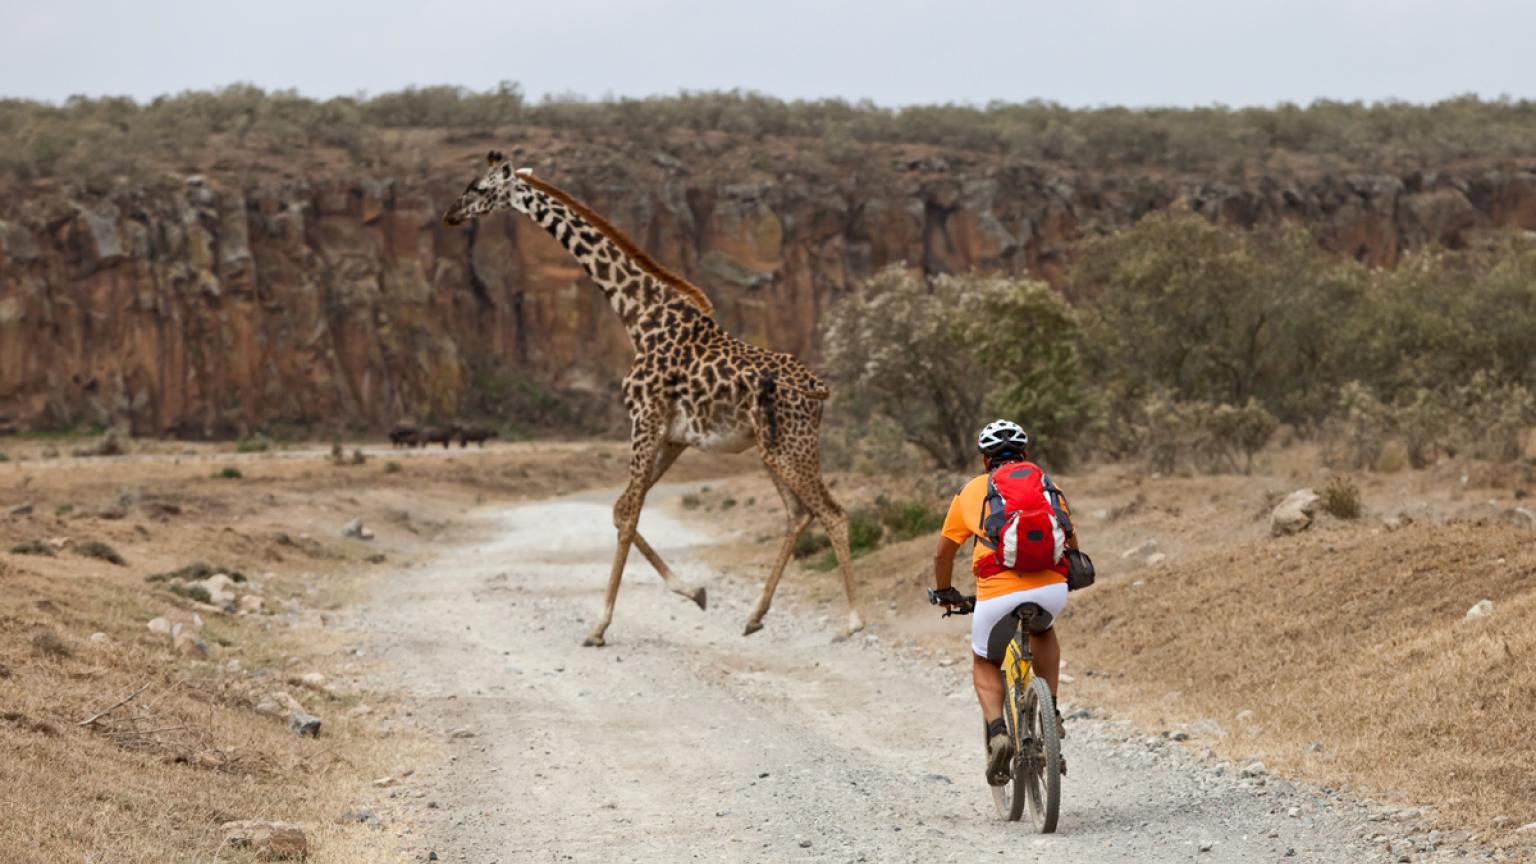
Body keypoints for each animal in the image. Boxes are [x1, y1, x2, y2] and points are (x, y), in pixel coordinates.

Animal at [445, 149, 866, 645]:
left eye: (478, 187)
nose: (450, 214)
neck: (638, 315)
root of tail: (818, 389)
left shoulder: (643, 420)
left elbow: (628, 514)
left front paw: (599, 625)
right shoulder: (672, 435)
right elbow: (620, 508)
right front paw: (694, 591)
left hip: (791, 448)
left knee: (833, 513)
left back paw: (852, 623)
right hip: (772, 450)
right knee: (798, 514)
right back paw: (755, 615)